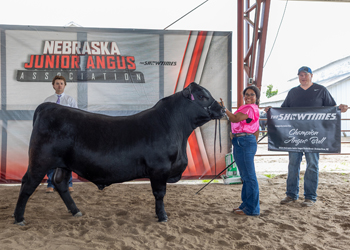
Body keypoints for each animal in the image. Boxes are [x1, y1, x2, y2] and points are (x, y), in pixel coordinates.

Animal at [13, 82, 224, 225]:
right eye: (203, 96)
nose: (222, 109)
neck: (176, 128)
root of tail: (49, 106)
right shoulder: (159, 168)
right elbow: (159, 194)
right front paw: (162, 216)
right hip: (40, 161)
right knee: (28, 184)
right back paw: (19, 218)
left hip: (63, 164)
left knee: (60, 183)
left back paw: (76, 211)